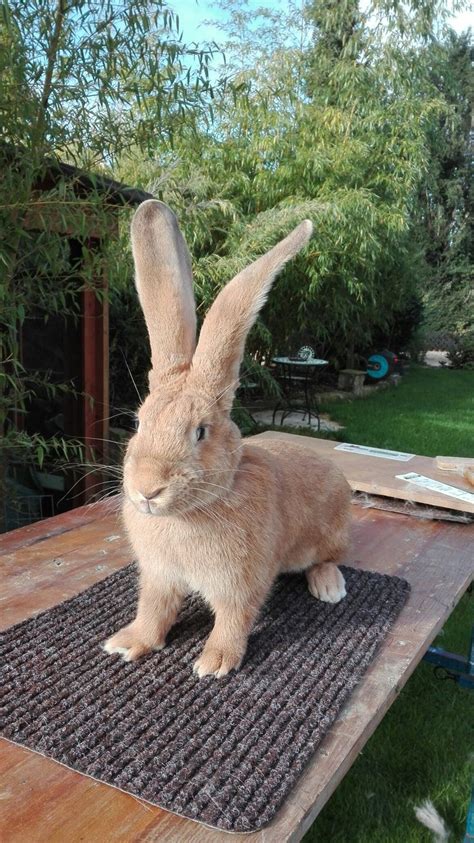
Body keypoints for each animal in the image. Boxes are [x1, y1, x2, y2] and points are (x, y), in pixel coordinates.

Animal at [105, 199, 354, 680]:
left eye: (200, 432)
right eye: (139, 423)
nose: (146, 490)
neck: (191, 513)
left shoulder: (241, 582)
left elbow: (234, 618)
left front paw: (215, 663)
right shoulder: (159, 577)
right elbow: (153, 610)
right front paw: (127, 644)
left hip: (329, 535)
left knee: (329, 557)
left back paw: (329, 586)